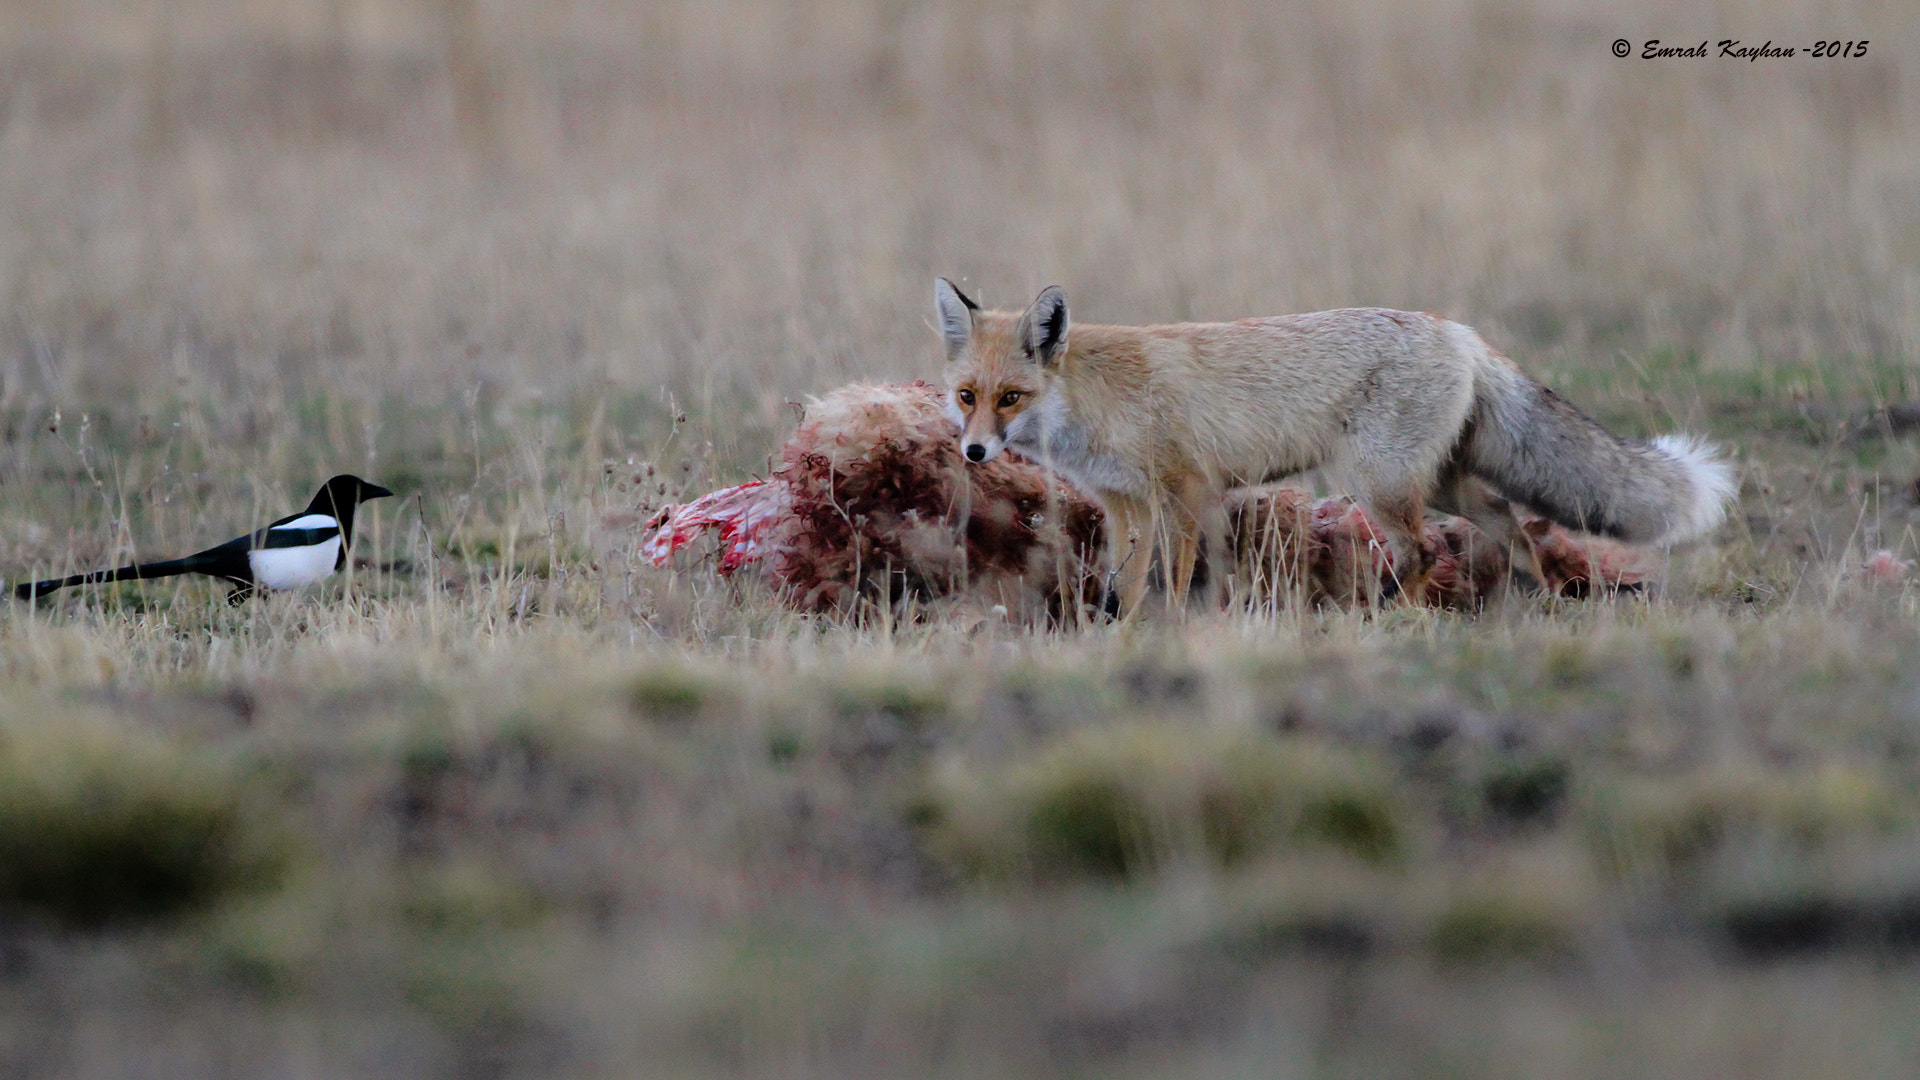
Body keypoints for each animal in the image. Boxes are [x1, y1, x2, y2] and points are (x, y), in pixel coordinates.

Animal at [936, 276, 1735, 614]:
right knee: (1509, 524)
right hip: (1438, 480)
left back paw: (1383, 612)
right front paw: (1116, 631)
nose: (974, 454)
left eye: (1012, 399)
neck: (1094, 399)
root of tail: (1459, 331)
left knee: (1424, 550)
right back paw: (1528, 601)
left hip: (1379, 482)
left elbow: (1170, 573)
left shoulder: (1183, 489)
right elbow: (1123, 581)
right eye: (968, 396)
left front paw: (1159, 630)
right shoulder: (1124, 502)